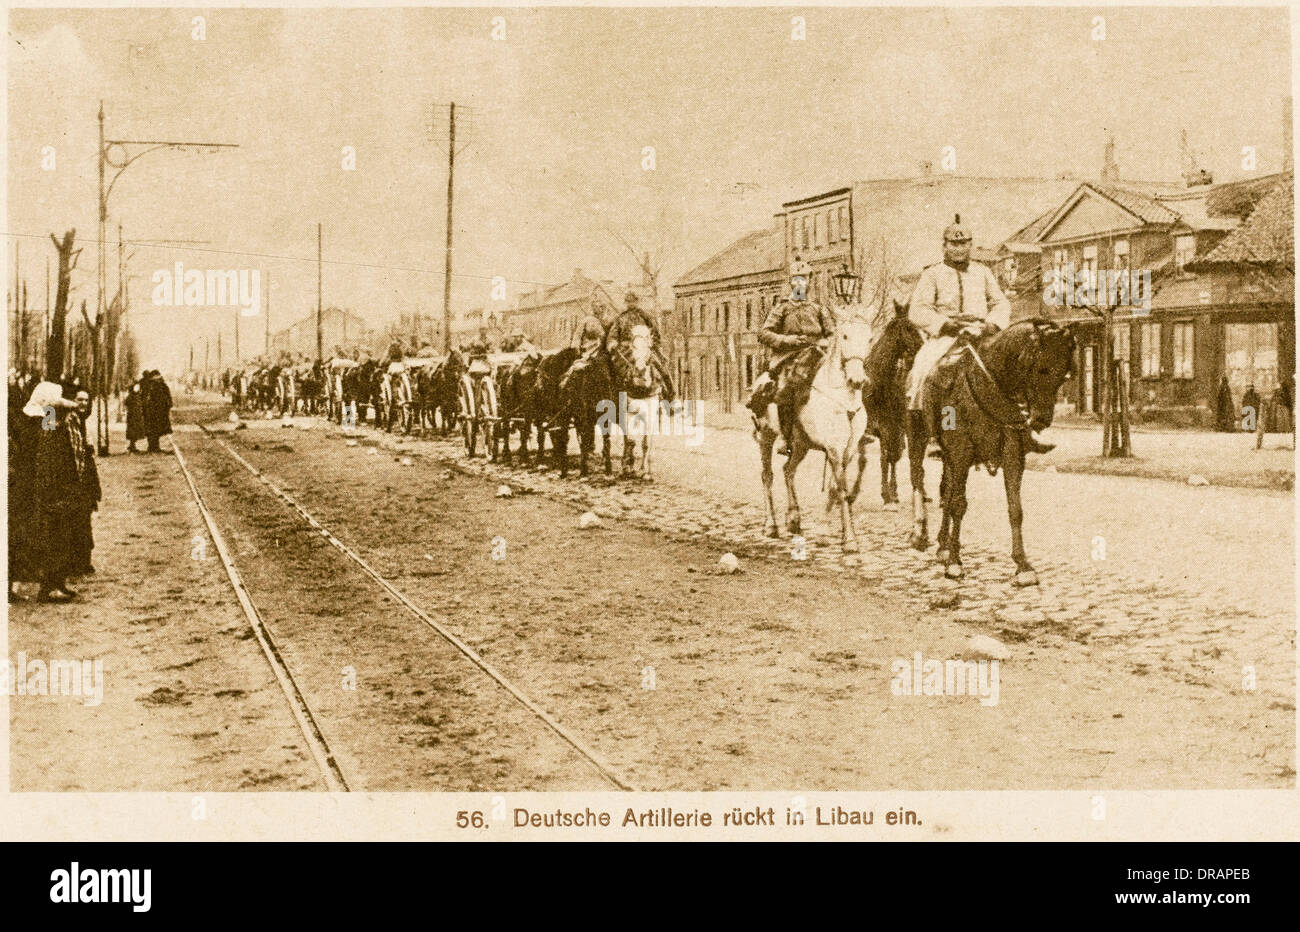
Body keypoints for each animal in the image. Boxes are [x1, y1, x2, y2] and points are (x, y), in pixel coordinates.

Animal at [754, 313, 873, 548]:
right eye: (845, 336)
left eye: (869, 338)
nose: (857, 380)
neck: (843, 399)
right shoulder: (834, 449)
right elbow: (842, 487)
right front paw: (849, 539)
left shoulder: (849, 451)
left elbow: (836, 488)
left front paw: (837, 530)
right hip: (766, 436)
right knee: (767, 476)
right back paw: (771, 525)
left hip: (801, 444)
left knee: (788, 471)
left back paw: (793, 519)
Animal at [904, 315, 1076, 584]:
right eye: (1041, 369)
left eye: (1064, 375)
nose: (1041, 420)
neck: (989, 382)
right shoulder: (961, 451)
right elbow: (958, 505)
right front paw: (955, 563)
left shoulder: (1012, 453)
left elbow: (1015, 509)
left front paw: (1023, 566)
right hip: (918, 439)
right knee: (917, 479)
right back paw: (919, 533)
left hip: (949, 459)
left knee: (946, 490)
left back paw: (942, 545)